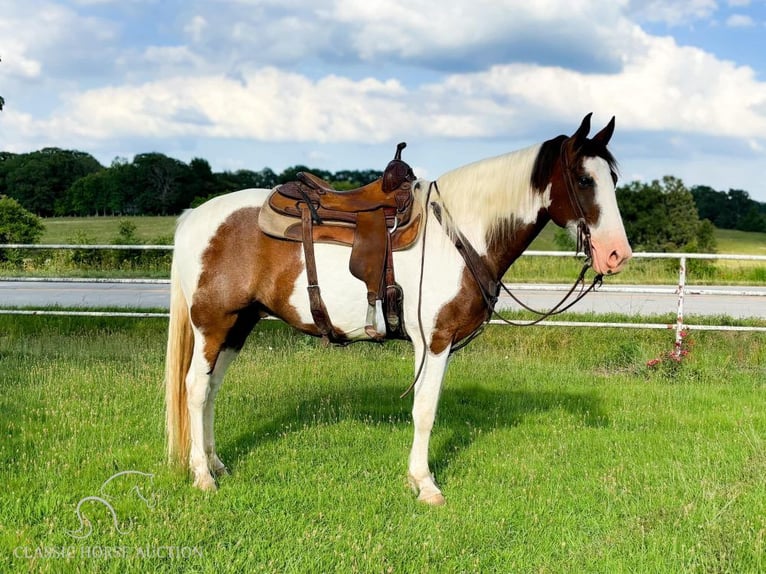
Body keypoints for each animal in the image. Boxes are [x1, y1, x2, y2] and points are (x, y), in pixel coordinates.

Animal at [165, 115, 632, 506]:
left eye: (612, 178)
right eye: (583, 179)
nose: (617, 254)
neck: (458, 234)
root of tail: (193, 218)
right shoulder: (434, 341)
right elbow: (424, 411)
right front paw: (425, 485)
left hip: (237, 327)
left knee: (211, 390)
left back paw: (216, 464)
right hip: (213, 326)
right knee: (196, 388)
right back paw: (203, 476)